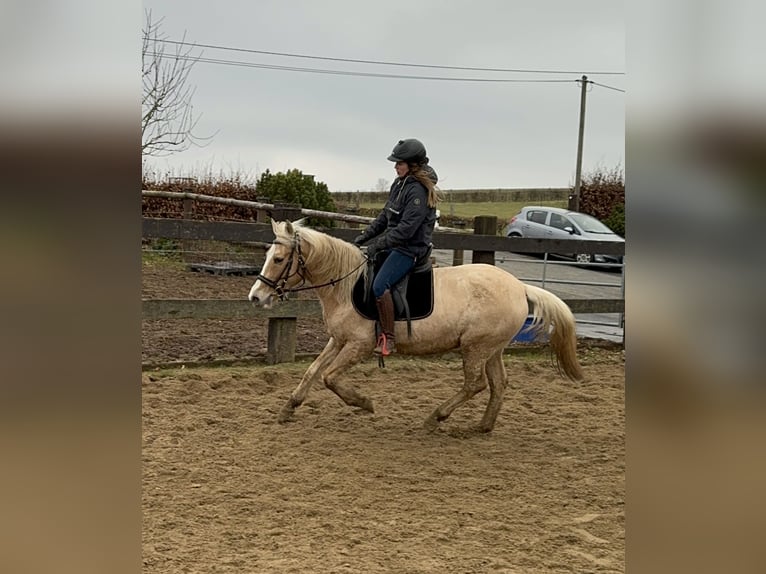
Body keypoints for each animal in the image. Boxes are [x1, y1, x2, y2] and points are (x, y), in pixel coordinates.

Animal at [249, 220, 584, 432]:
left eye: (278, 259)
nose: (256, 296)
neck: (347, 284)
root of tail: (519, 286)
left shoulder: (359, 345)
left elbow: (329, 377)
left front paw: (365, 403)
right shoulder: (339, 340)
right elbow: (312, 371)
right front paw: (288, 408)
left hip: (475, 348)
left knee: (475, 384)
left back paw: (436, 417)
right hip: (492, 349)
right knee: (498, 384)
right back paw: (482, 426)